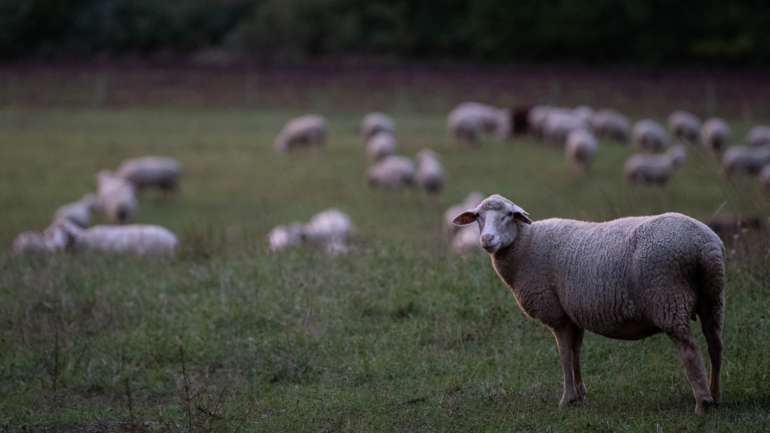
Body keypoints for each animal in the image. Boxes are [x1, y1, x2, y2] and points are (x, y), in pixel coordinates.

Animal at [450, 194, 720, 414]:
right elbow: (576, 351)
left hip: (667, 297)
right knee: (715, 345)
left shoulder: (557, 314)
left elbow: (564, 354)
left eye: (508, 215)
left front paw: (567, 398)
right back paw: (715, 395)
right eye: (478, 217)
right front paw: (580, 394)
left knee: (689, 350)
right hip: (712, 297)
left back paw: (702, 403)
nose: (487, 239)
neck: (526, 243)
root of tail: (702, 244)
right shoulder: (572, 314)